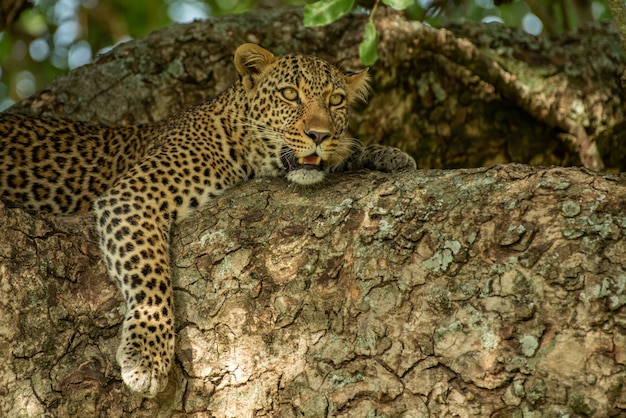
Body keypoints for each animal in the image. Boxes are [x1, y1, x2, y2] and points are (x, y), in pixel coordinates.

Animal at [1, 43, 420, 398]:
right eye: (290, 94)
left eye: (335, 101)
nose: (319, 134)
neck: (242, 143)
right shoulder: (134, 194)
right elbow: (150, 276)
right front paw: (147, 356)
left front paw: (385, 154)